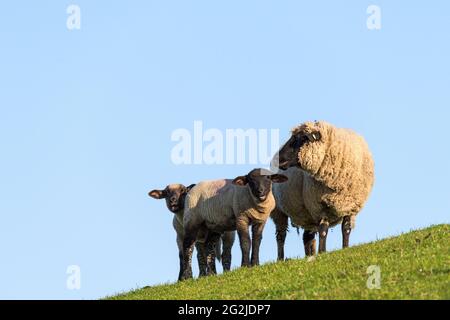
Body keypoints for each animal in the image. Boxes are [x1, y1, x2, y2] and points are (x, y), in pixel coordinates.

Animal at [272, 121, 374, 256]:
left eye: (302, 138)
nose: (279, 159)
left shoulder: (350, 206)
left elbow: (346, 229)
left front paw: (345, 248)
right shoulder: (319, 206)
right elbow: (323, 230)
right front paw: (322, 252)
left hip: (306, 214)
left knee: (307, 237)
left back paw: (309, 255)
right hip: (278, 211)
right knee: (281, 236)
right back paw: (280, 258)